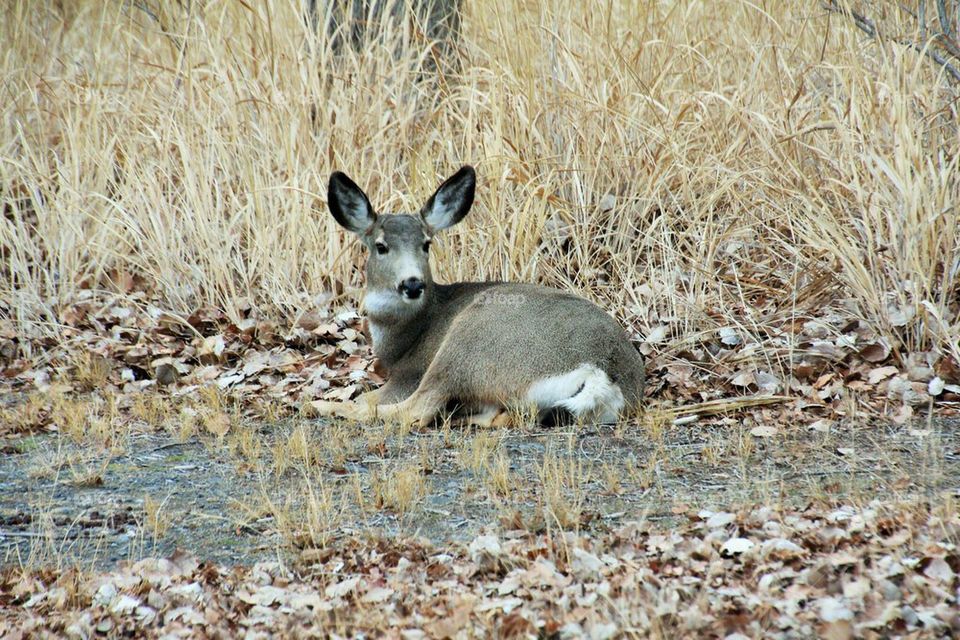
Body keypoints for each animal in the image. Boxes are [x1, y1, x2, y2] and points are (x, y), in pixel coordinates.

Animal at [307, 166, 645, 427]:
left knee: (417, 410)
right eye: (381, 246)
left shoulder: (407, 376)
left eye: (426, 244)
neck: (403, 339)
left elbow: (371, 398)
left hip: (469, 343)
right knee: (501, 416)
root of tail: (603, 371)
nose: (412, 284)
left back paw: (321, 407)